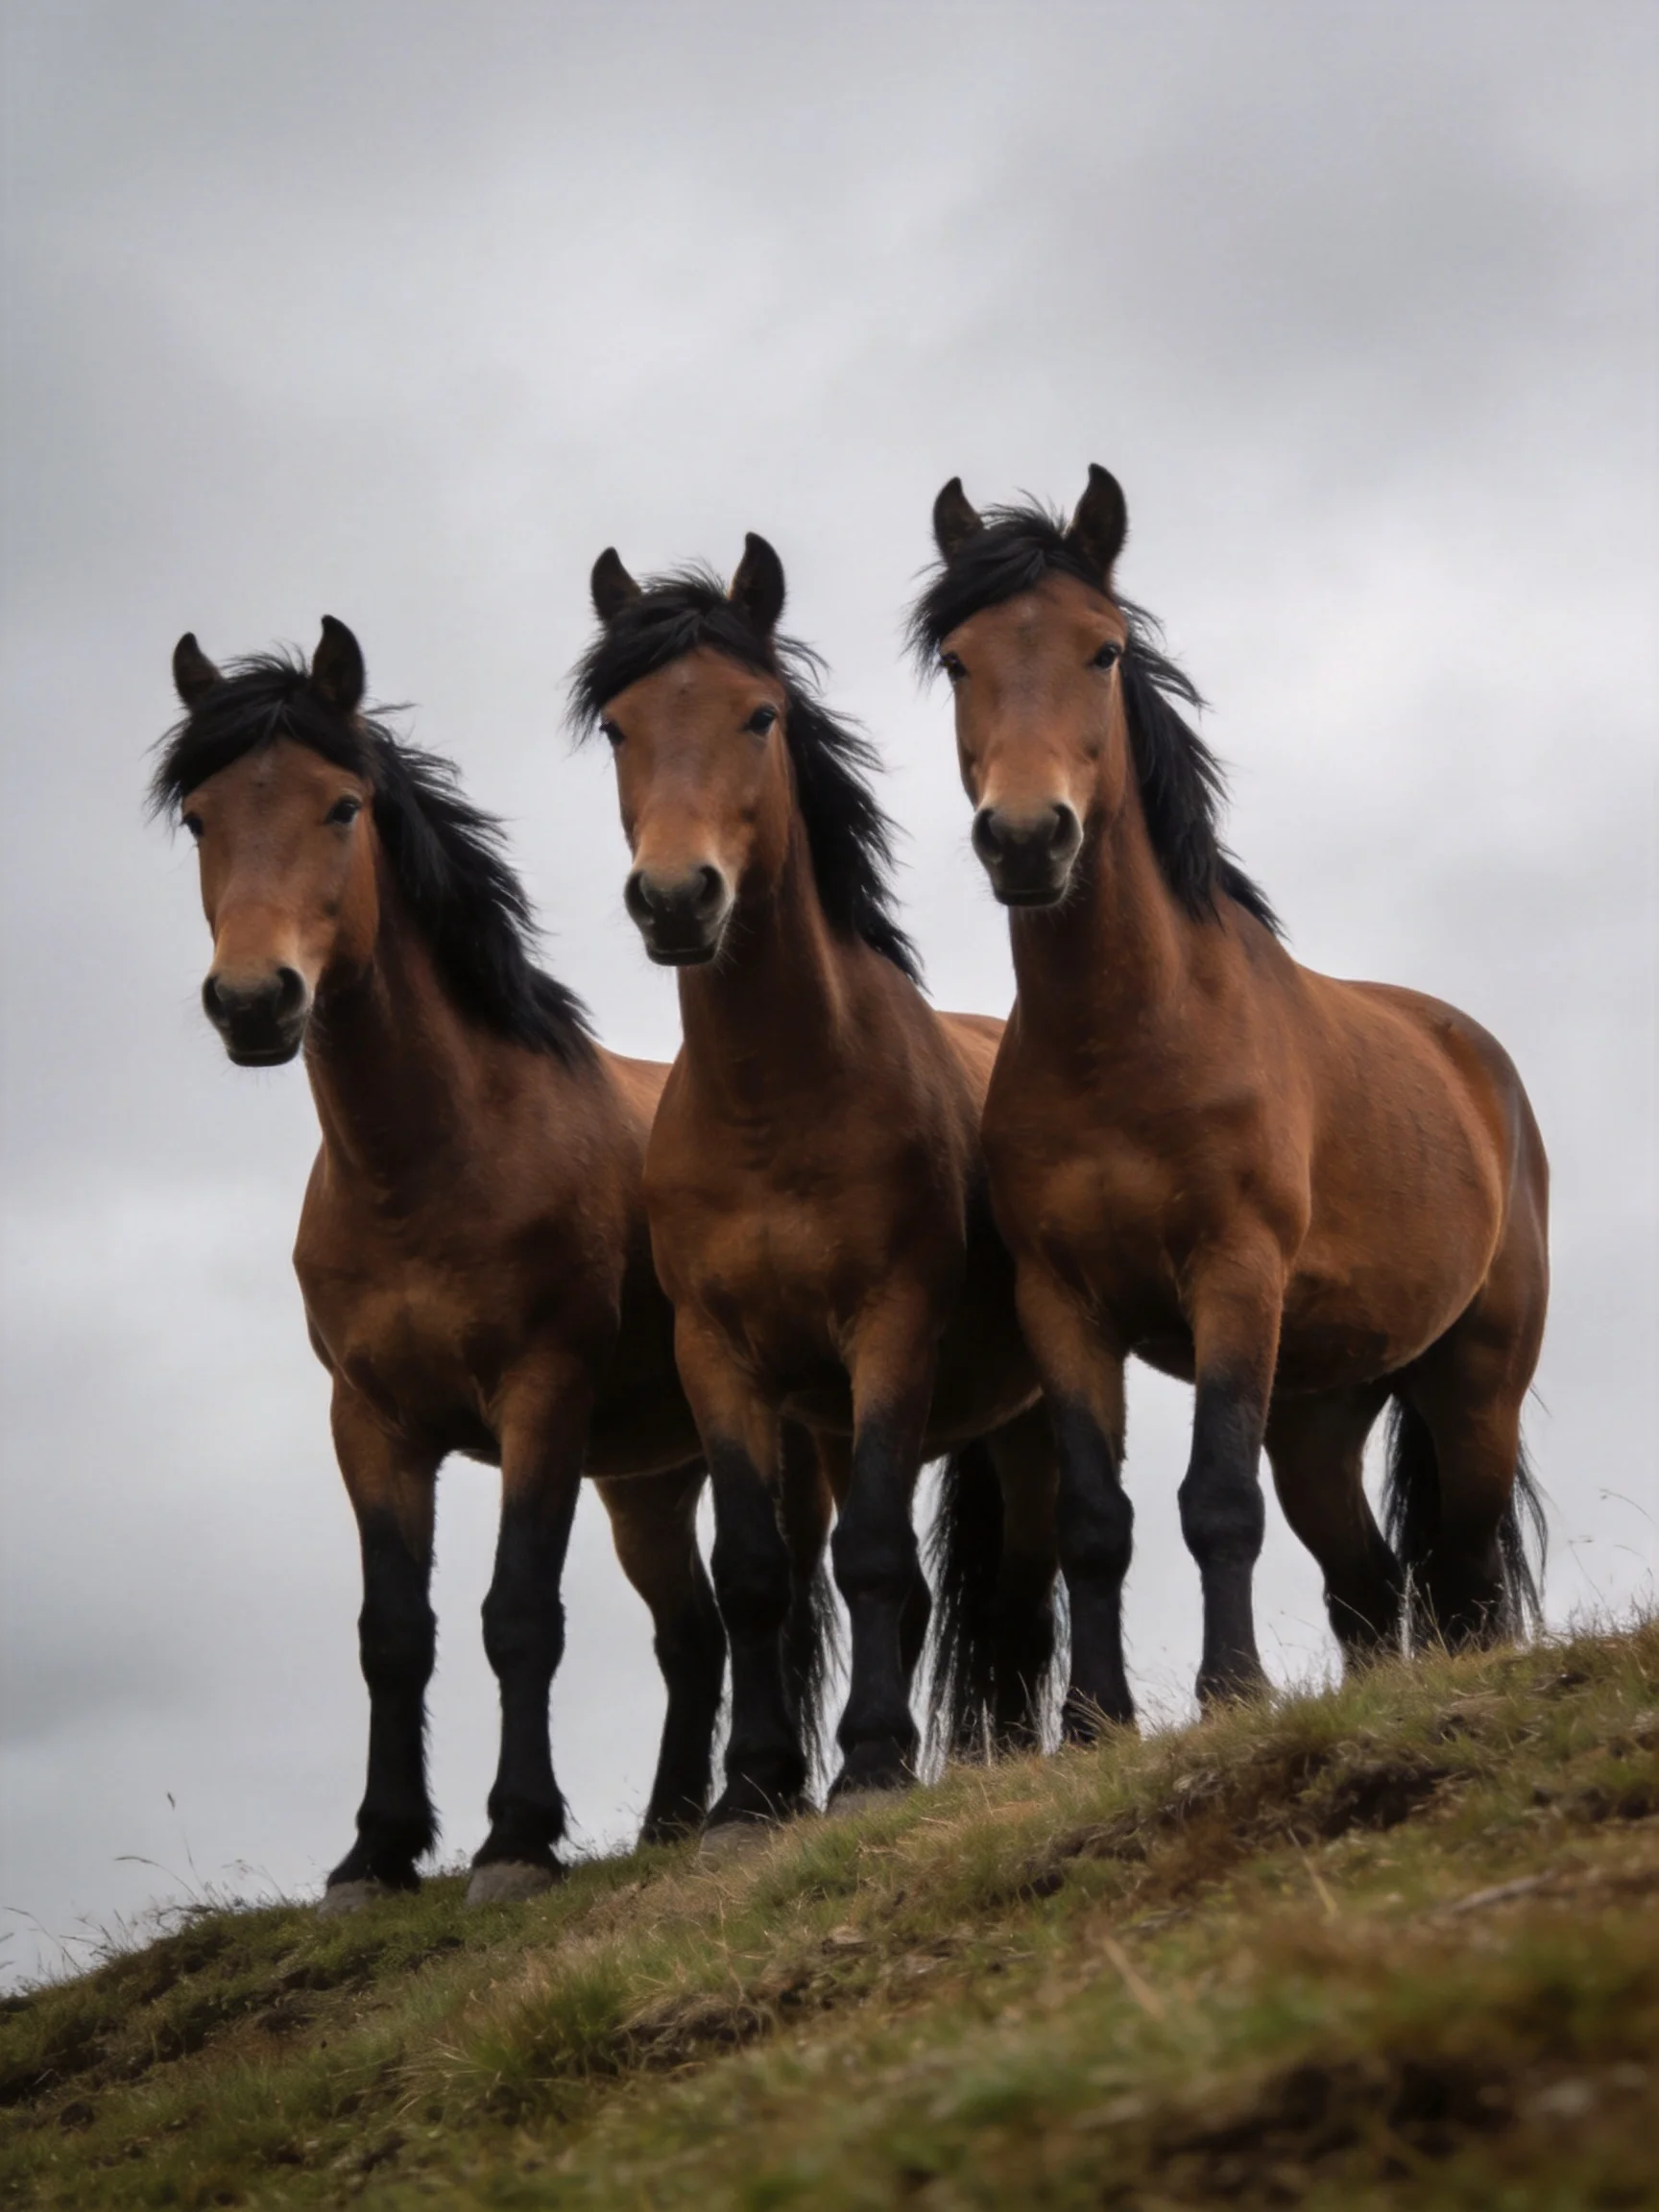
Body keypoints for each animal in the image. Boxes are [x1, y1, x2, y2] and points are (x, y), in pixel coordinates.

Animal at [152, 616, 794, 1908]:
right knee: (693, 1633)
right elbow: (393, 1633)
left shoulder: (539, 1399)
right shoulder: (371, 1422)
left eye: (342, 806)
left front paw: (515, 1839)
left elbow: (518, 1614)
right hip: (648, 1482)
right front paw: (377, 1851)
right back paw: (670, 1820)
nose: (252, 1000)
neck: (433, 1168)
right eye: (199, 817)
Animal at [573, 538, 1062, 1824]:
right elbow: (755, 1577)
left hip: (1032, 1411)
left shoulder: (891, 1329)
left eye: (760, 716)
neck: (777, 1112)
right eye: (618, 727)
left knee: (1028, 1585)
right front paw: (749, 1791)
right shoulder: (722, 1359)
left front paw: (878, 1765)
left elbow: (877, 1557)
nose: (676, 898)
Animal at [909, 468, 1548, 1724]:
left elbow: (1215, 1499)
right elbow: (1094, 1518)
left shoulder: (1233, 1279)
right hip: (1320, 1410)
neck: (1131, 1043)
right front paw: (1095, 1720)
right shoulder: (1065, 1307)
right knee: (1369, 1581)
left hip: (1474, 1381)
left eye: (1104, 649)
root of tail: (1474, 1056)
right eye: (957, 659)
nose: (1028, 837)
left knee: (1464, 1568)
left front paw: (1232, 1691)